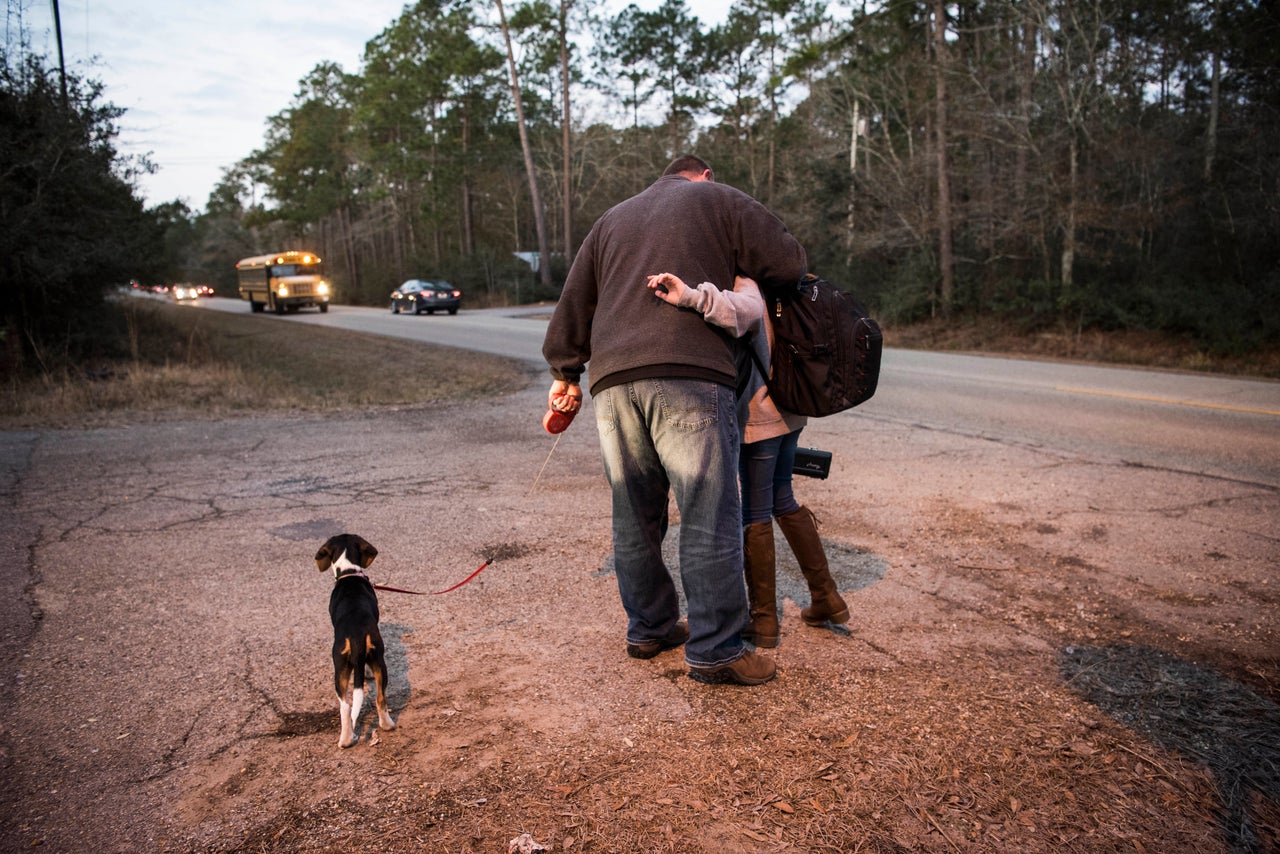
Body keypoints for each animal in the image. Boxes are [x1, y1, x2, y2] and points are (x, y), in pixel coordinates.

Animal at [313, 535, 394, 747]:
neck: (349, 572)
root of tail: (356, 633)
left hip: (343, 665)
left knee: (350, 705)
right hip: (373, 660)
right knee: (370, 700)